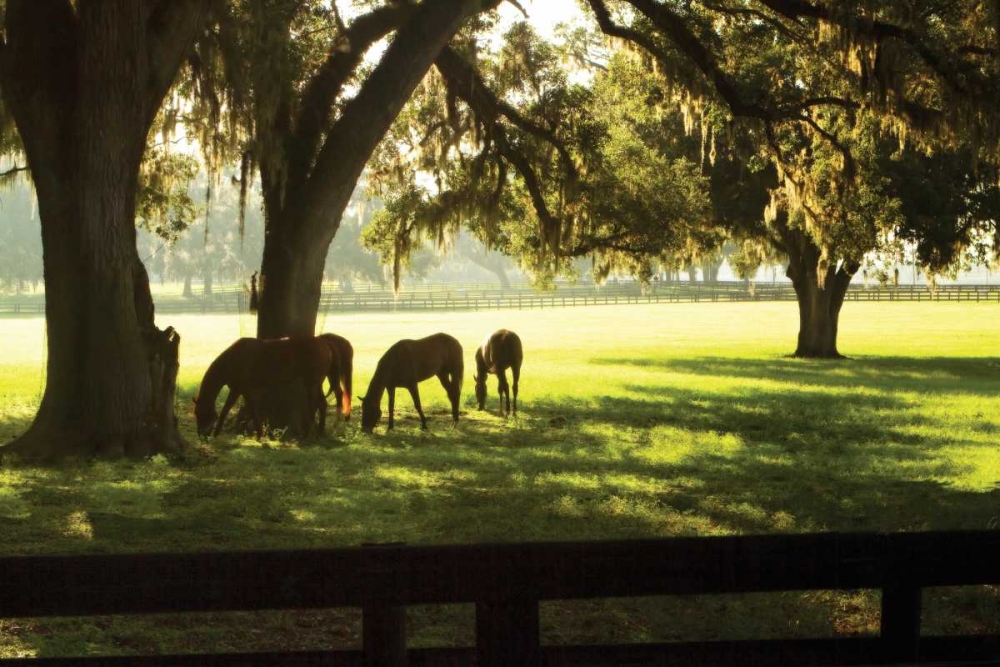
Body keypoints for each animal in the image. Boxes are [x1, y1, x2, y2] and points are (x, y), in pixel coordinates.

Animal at [195, 336, 332, 440]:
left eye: (201, 413)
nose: (201, 435)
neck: (234, 359)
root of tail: (323, 344)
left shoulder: (238, 389)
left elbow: (226, 410)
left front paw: (216, 433)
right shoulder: (245, 390)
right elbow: (252, 410)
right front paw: (260, 434)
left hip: (312, 382)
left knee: (315, 405)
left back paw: (307, 435)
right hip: (315, 383)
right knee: (321, 404)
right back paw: (319, 433)